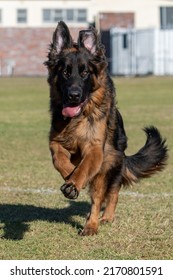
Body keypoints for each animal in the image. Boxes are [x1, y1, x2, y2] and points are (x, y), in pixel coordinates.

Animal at [44, 21, 168, 235]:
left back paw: (96, 223)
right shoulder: (55, 141)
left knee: (106, 196)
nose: (74, 95)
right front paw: (70, 173)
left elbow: (84, 169)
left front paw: (74, 181)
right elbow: (59, 160)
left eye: (85, 72)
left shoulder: (95, 149)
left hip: (110, 164)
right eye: (65, 72)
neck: (78, 118)